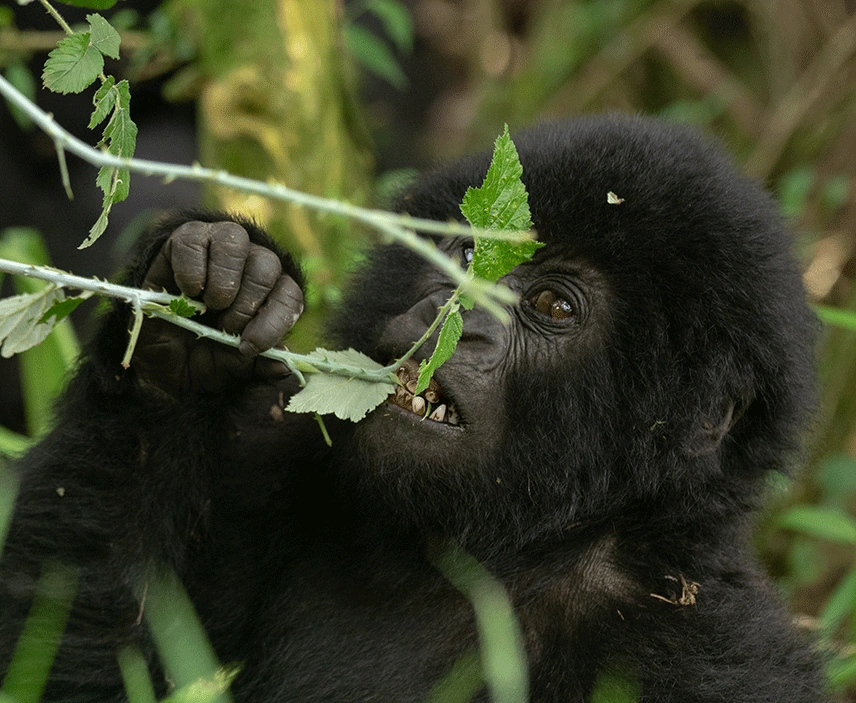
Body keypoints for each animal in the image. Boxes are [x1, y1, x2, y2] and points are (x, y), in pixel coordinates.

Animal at [0, 115, 828, 703]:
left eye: (553, 305)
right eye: (463, 255)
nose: (450, 312)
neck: (505, 552)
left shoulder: (701, 651)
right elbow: (73, 654)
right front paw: (191, 325)